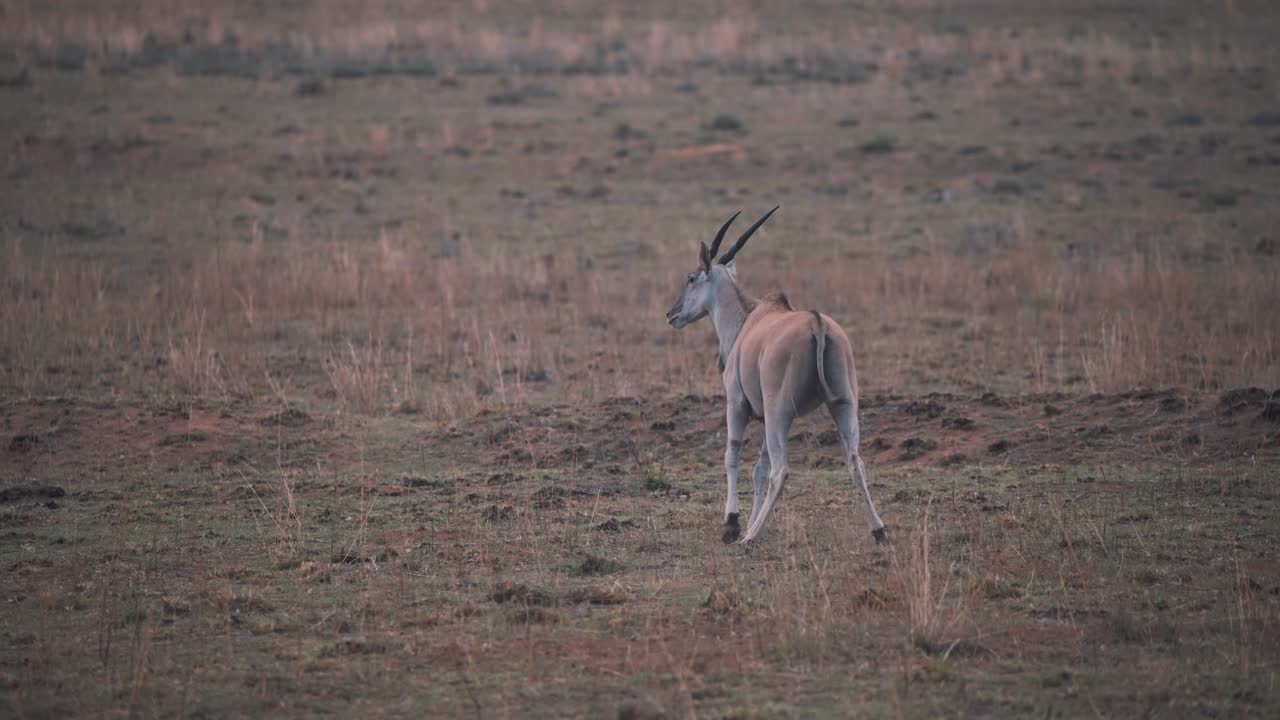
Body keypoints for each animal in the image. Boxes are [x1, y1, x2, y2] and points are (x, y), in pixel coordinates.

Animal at [665, 208, 887, 546]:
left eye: (691, 278)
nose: (672, 314)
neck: (747, 319)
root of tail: (818, 324)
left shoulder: (737, 405)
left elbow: (733, 455)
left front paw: (732, 524)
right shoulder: (769, 417)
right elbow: (759, 467)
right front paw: (749, 522)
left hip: (778, 412)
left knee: (781, 471)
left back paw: (750, 538)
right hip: (842, 406)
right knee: (855, 461)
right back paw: (879, 530)